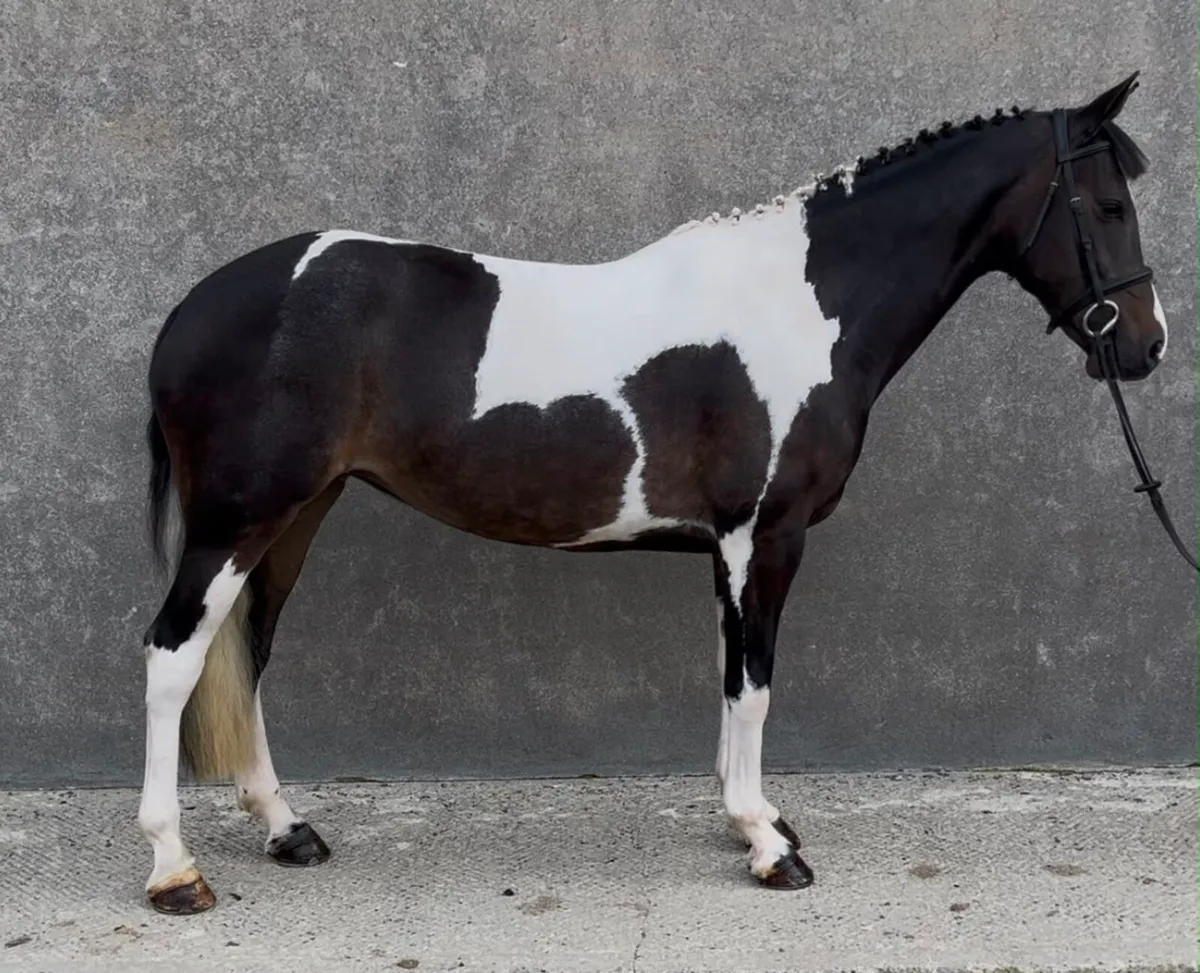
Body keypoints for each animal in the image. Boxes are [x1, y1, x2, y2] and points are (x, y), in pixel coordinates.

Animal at [136, 72, 1167, 914]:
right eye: (1108, 203)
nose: (1146, 345)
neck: (803, 303)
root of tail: (192, 310)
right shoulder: (766, 535)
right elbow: (754, 684)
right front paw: (768, 847)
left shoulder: (729, 546)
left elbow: (731, 679)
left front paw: (754, 818)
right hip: (239, 520)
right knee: (174, 657)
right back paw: (175, 870)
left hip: (296, 516)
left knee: (249, 655)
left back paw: (286, 829)